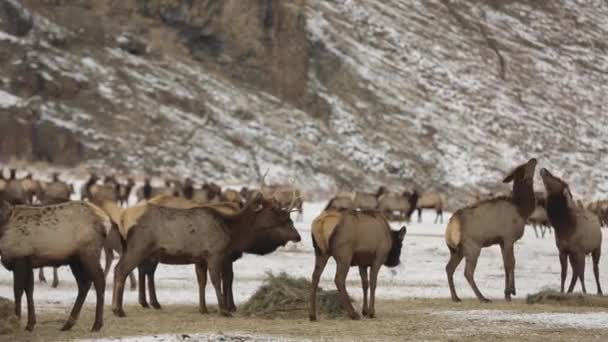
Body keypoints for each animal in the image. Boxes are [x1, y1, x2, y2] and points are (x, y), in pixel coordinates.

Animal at [0, 200, 110, 332]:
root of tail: (105, 222)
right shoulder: (28, 263)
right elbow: (29, 290)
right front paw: (30, 324)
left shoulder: (20, 259)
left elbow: (18, 291)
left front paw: (17, 320)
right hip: (75, 260)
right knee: (84, 284)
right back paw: (68, 323)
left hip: (88, 253)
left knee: (99, 280)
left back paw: (96, 324)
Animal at [442, 158, 536, 302]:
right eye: (525, 166)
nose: (534, 159)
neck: (523, 209)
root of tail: (451, 225)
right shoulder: (509, 238)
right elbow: (511, 263)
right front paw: (512, 290)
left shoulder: (502, 242)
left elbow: (505, 265)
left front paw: (507, 294)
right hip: (473, 246)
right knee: (468, 272)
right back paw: (482, 297)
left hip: (456, 250)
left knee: (449, 268)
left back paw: (455, 297)